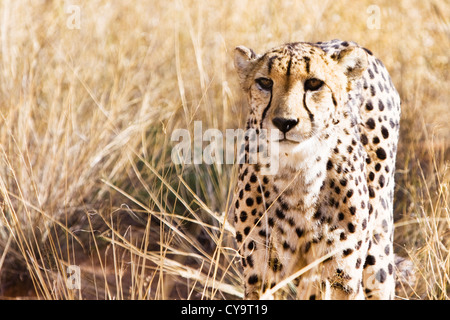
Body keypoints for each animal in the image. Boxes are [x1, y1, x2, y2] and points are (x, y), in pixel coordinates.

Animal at [230, 40, 402, 300]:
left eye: (313, 84)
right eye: (265, 82)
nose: (284, 122)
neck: (298, 173)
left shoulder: (339, 272)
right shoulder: (262, 271)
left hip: (378, 253)